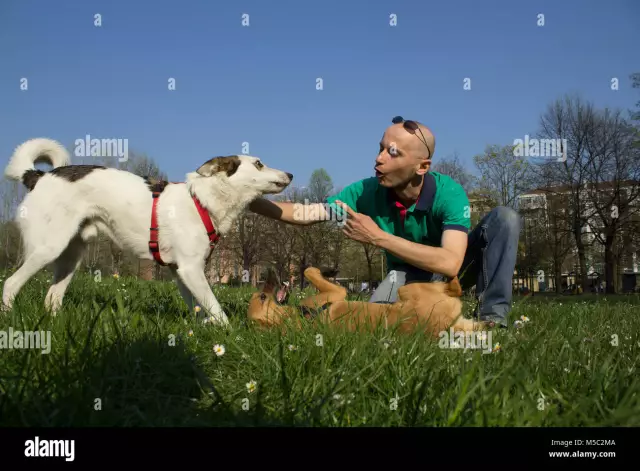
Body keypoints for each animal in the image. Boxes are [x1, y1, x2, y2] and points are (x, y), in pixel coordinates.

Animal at [1, 138, 292, 326]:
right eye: (258, 164)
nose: (290, 174)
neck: (202, 200)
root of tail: (37, 176)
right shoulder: (191, 269)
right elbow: (217, 310)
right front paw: (231, 337)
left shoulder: (180, 272)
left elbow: (200, 308)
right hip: (47, 248)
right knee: (10, 284)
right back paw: (9, 318)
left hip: (71, 257)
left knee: (52, 298)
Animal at [248, 268, 482, 338]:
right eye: (262, 297)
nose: (269, 272)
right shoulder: (338, 292)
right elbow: (310, 270)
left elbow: (309, 270)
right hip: (408, 288)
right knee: (454, 285)